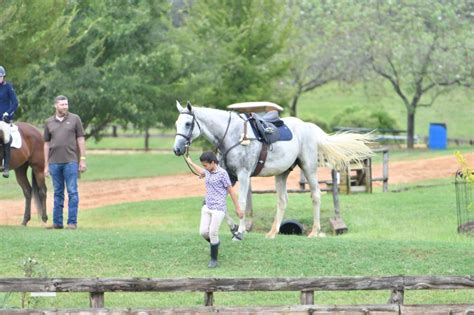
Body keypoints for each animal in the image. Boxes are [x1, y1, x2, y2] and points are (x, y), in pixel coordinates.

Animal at [174, 102, 374, 239]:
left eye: (188, 124)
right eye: (176, 123)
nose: (177, 149)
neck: (231, 134)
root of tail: (307, 127)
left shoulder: (243, 175)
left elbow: (241, 203)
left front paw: (240, 231)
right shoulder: (228, 176)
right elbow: (211, 202)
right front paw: (233, 228)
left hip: (308, 167)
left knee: (316, 195)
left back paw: (314, 232)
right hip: (282, 173)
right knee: (282, 200)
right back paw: (272, 232)